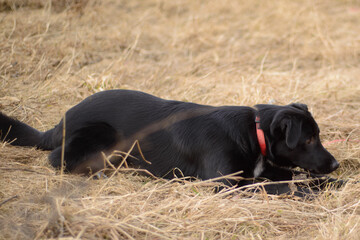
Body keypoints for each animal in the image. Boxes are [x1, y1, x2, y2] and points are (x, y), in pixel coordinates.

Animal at [0, 89, 342, 196]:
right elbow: (277, 184)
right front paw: (313, 189)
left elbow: (287, 174)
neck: (252, 131)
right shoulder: (223, 183)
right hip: (100, 133)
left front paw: (333, 183)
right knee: (58, 159)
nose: (337, 164)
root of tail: (59, 123)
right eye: (309, 138)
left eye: (318, 136)